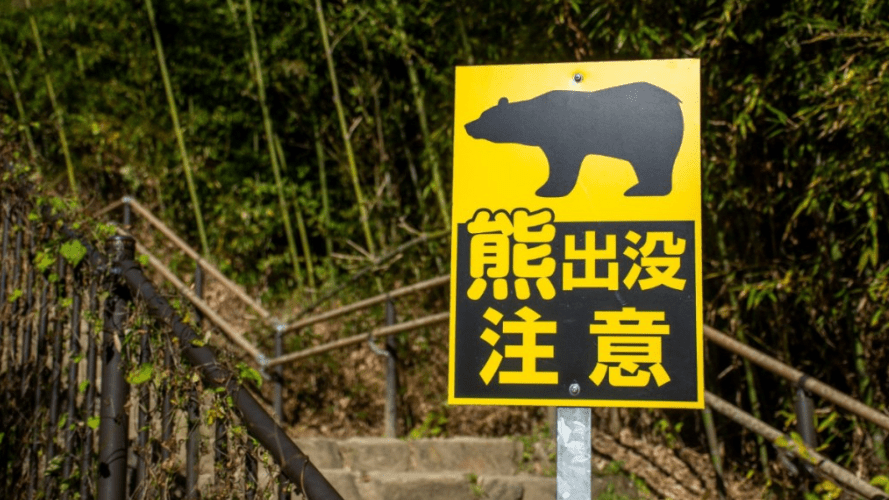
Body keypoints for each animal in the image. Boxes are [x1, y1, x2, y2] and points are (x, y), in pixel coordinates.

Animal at [464, 82, 684, 197]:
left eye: (483, 116)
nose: (467, 125)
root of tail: (676, 101)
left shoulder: (564, 138)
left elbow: (563, 165)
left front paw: (546, 190)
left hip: (652, 135)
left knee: (654, 163)